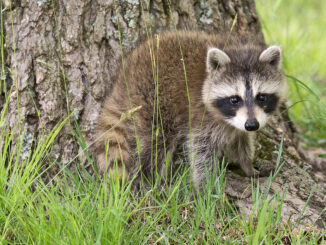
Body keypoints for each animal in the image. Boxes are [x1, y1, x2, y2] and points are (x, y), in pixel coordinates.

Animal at [95, 30, 286, 188]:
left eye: (261, 97)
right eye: (234, 99)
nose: (252, 125)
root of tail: (124, 77)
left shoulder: (238, 124)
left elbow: (242, 141)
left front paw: (247, 166)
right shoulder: (201, 117)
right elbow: (200, 151)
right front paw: (206, 188)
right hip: (152, 101)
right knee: (157, 141)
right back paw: (149, 178)